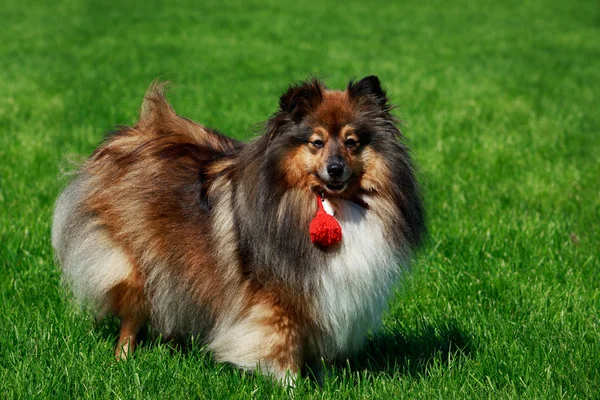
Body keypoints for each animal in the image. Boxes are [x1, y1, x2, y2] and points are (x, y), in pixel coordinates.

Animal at [52, 76, 426, 384]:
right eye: (316, 143)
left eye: (352, 142)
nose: (335, 169)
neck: (328, 203)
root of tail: (135, 137)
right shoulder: (277, 299)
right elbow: (282, 344)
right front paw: (290, 385)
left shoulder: (322, 293)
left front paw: (323, 381)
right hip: (134, 265)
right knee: (130, 318)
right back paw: (123, 361)